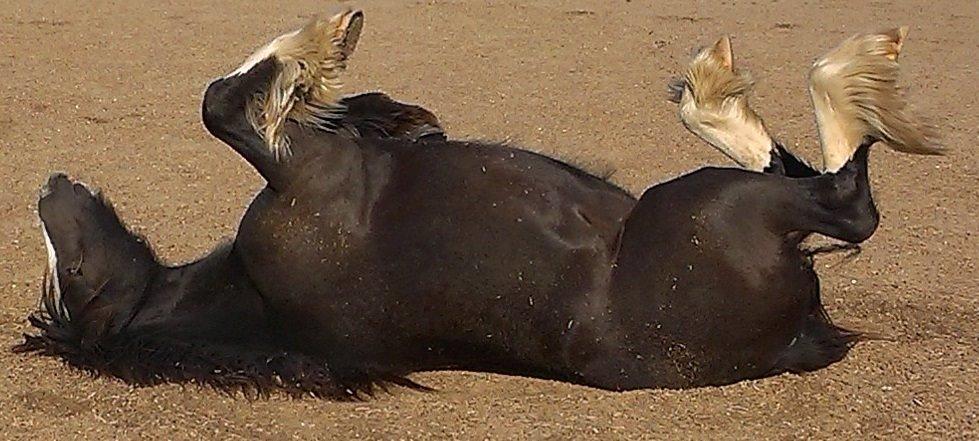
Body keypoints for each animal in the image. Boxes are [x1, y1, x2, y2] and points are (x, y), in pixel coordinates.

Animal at [17, 10, 940, 398]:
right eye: (68, 276)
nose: (48, 187)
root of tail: (793, 337)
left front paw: (366, 94)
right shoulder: (301, 171)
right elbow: (221, 104)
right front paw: (324, 45)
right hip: (714, 202)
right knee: (844, 198)